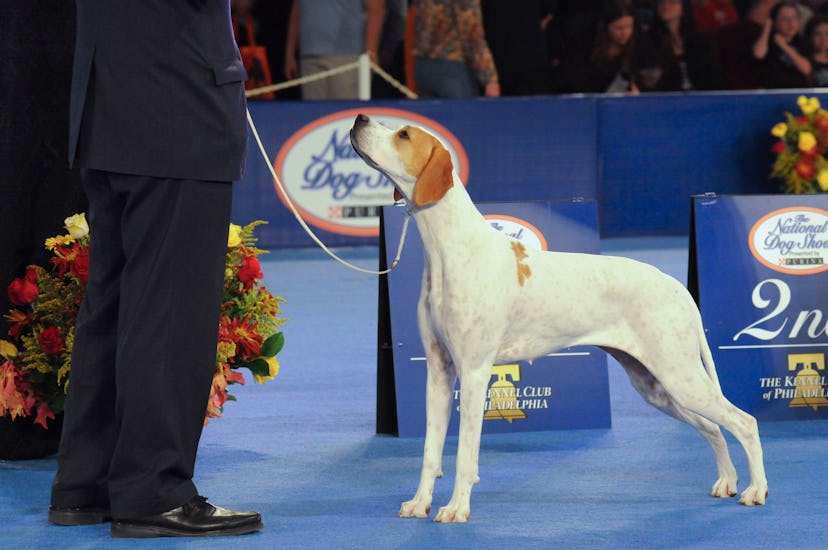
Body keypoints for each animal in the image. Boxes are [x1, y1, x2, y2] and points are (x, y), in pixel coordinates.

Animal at [346, 114, 768, 524]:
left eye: (403, 134)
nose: (360, 118)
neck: (449, 250)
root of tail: (676, 286)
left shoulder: (474, 372)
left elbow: (465, 454)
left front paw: (456, 509)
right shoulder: (438, 371)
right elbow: (430, 452)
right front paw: (420, 503)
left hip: (680, 377)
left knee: (743, 422)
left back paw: (755, 490)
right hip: (657, 387)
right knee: (714, 427)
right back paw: (727, 481)